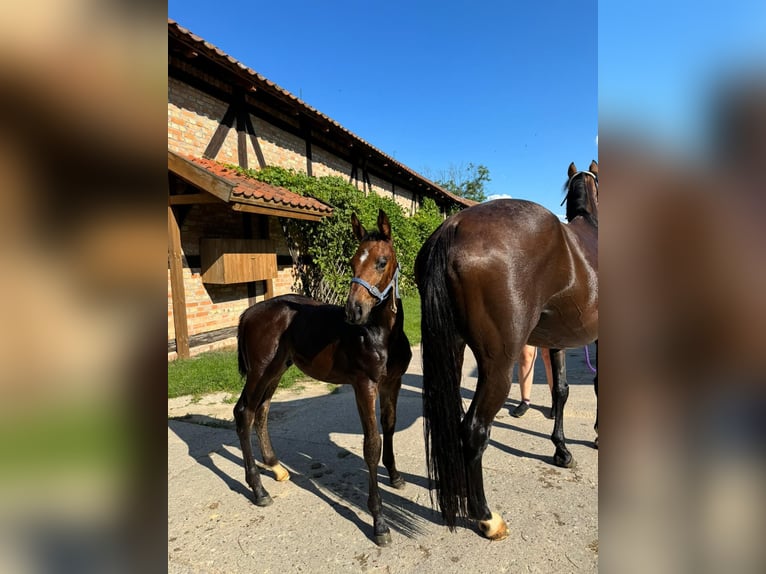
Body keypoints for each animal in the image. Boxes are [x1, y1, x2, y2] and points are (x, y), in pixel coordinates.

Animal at [236, 209, 412, 548]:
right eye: (353, 261)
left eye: (382, 261)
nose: (353, 311)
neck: (381, 334)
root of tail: (247, 314)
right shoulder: (364, 386)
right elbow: (371, 444)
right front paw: (379, 522)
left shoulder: (392, 383)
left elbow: (390, 426)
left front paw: (396, 476)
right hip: (259, 370)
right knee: (244, 413)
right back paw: (258, 490)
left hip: (276, 369)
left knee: (261, 411)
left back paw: (275, 467)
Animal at [416, 161, 596, 540]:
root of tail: (452, 226)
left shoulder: (556, 341)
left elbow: (560, 391)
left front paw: (562, 450)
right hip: (498, 366)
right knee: (474, 431)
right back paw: (486, 517)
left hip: (452, 352)